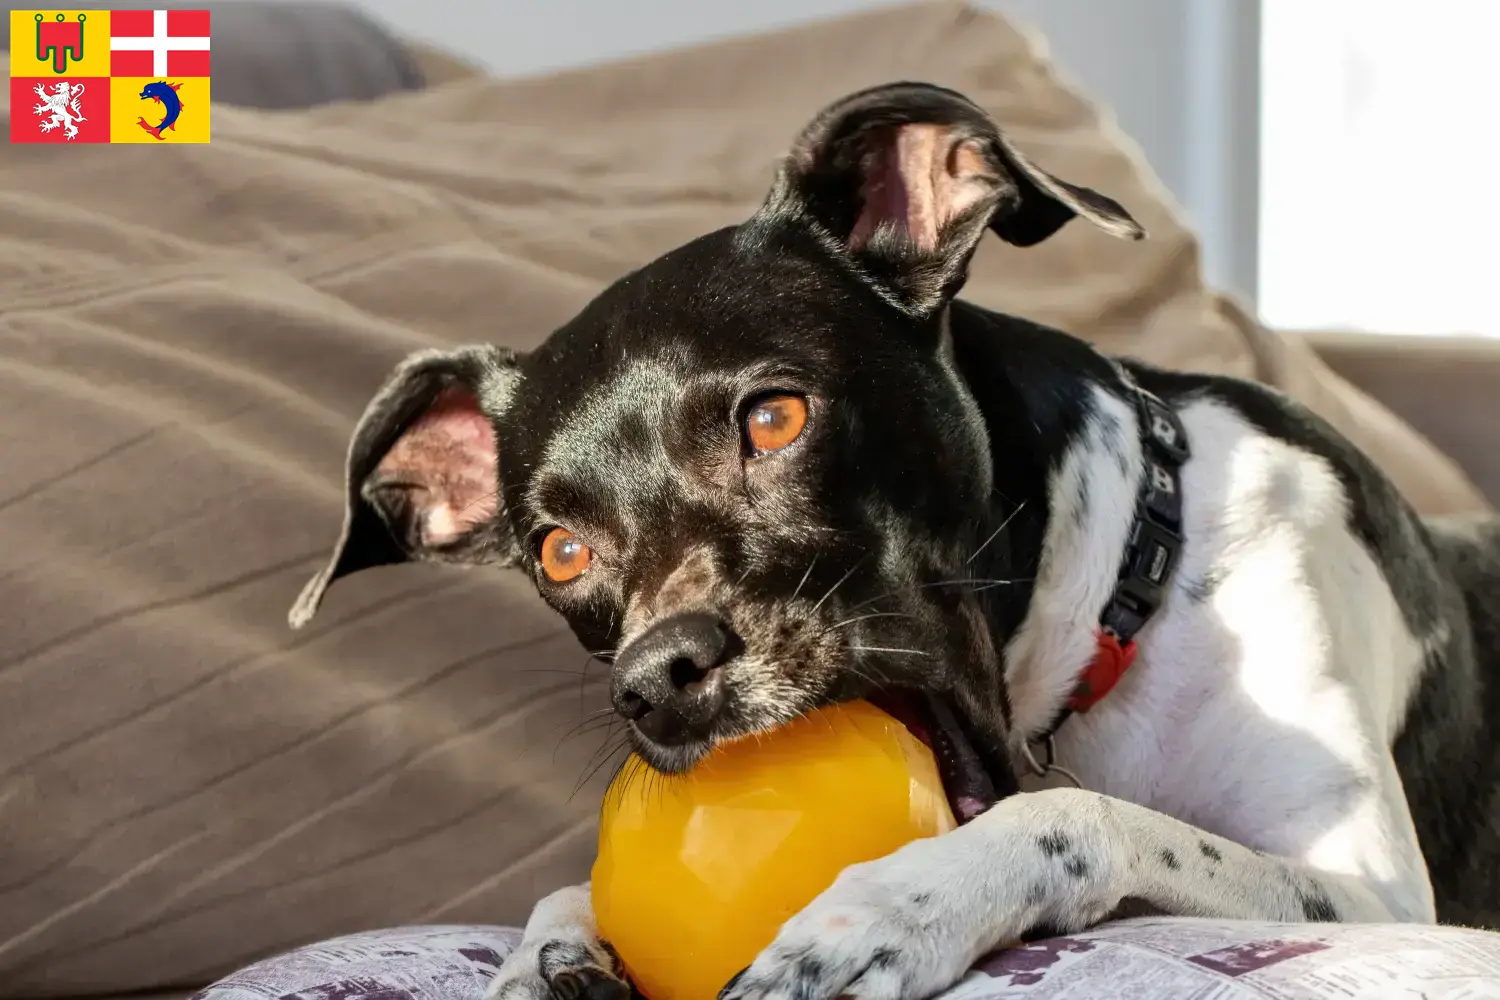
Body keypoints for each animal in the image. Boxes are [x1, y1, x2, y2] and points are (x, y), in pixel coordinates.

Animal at [289, 86, 1500, 1000]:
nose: (659, 681)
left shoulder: (1376, 896)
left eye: (774, 417)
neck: (1126, 590)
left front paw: (890, 907)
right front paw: (550, 949)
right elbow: (565, 892)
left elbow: (1077, 816)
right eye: (558, 551)